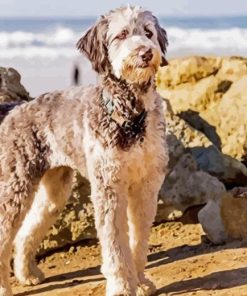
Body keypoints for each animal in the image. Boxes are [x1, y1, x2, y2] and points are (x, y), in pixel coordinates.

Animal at [0, 5, 168, 296]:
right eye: (122, 34)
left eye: (148, 33)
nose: (146, 52)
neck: (131, 114)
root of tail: (14, 110)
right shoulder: (109, 186)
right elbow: (115, 244)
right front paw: (122, 286)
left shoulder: (147, 184)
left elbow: (139, 238)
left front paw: (140, 282)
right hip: (16, 186)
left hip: (54, 191)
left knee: (26, 231)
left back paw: (27, 273)